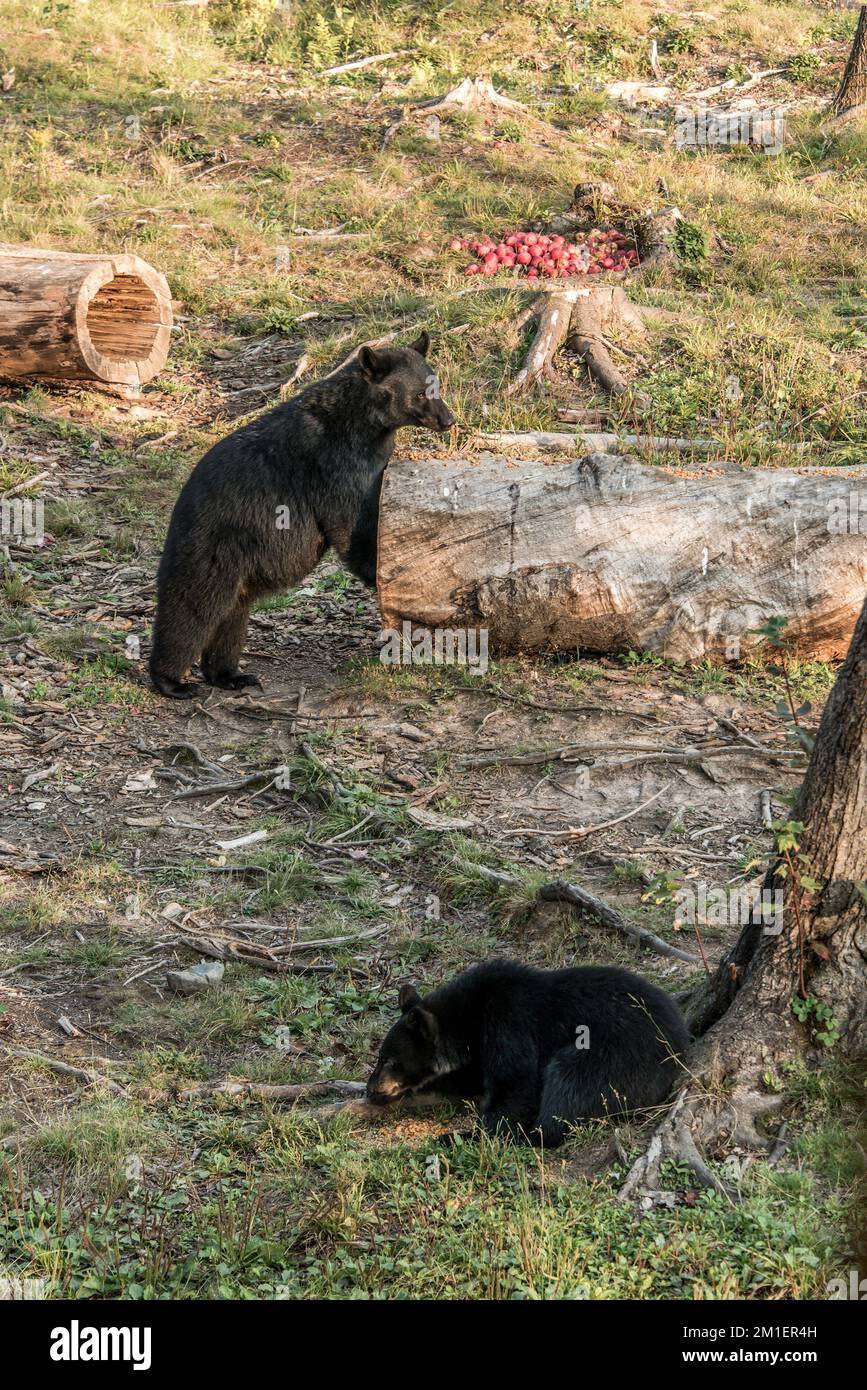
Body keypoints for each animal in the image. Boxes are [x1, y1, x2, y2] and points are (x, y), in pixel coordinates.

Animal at [149, 332, 454, 698]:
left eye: (437, 386)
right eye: (420, 393)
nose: (448, 420)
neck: (364, 425)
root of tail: (179, 509)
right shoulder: (334, 464)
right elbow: (350, 525)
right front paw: (377, 571)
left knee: (231, 618)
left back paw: (230, 675)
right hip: (211, 548)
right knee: (192, 609)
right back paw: (171, 680)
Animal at [366, 958, 689, 1146]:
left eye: (390, 1061)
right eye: (381, 1058)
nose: (371, 1090)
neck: (469, 1019)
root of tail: (679, 1050)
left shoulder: (508, 1022)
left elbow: (515, 1083)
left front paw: (469, 1133)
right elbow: (472, 1077)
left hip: (614, 1057)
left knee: (569, 1086)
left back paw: (532, 1134)